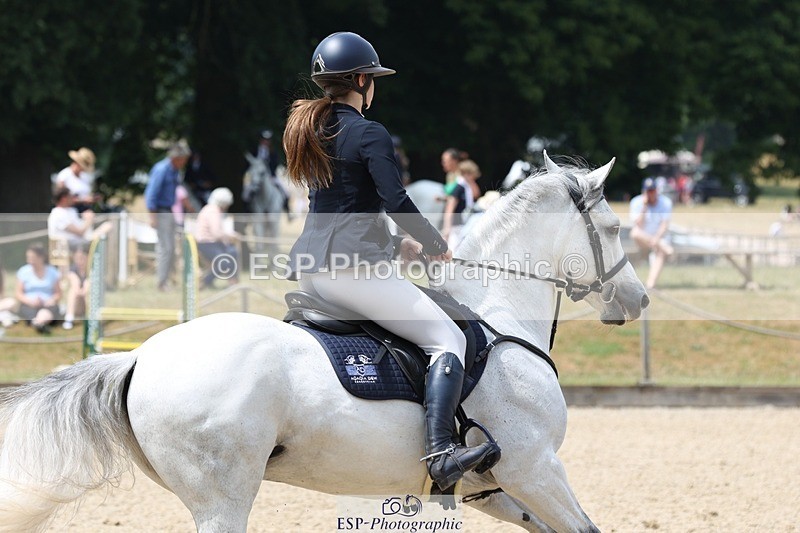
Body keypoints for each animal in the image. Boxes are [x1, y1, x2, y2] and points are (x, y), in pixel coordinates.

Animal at [0, 152, 649, 532]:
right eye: (615, 227)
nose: (637, 300)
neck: (498, 311)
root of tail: (140, 356)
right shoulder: (535, 467)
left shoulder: (496, 487)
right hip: (223, 496)